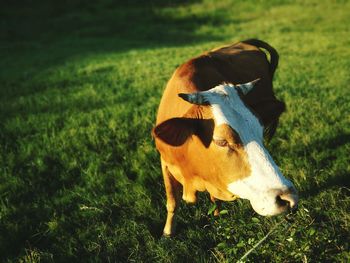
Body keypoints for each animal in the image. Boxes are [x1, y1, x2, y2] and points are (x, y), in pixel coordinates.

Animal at [152, 38, 298, 237]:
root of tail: (243, 42)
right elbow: (172, 202)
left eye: (259, 131)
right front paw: (168, 232)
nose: (288, 197)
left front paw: (216, 213)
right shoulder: (165, 163)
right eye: (221, 141)